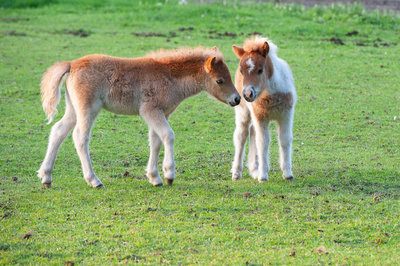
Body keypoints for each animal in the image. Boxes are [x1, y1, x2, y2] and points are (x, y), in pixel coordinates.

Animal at [37, 46, 239, 188]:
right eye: (220, 80)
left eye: (230, 75)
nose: (237, 99)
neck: (169, 77)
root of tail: (72, 64)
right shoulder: (150, 110)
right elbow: (168, 135)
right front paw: (169, 175)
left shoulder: (161, 113)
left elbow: (155, 141)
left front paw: (155, 177)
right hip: (88, 108)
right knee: (80, 137)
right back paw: (94, 181)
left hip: (73, 109)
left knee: (58, 131)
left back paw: (46, 177)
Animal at [231, 37, 296, 183]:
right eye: (242, 71)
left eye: (260, 70)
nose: (247, 94)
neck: (271, 94)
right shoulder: (260, 117)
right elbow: (263, 142)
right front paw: (263, 176)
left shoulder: (286, 115)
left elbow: (285, 140)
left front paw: (288, 174)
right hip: (243, 112)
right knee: (241, 136)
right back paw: (237, 173)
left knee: (252, 132)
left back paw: (254, 169)